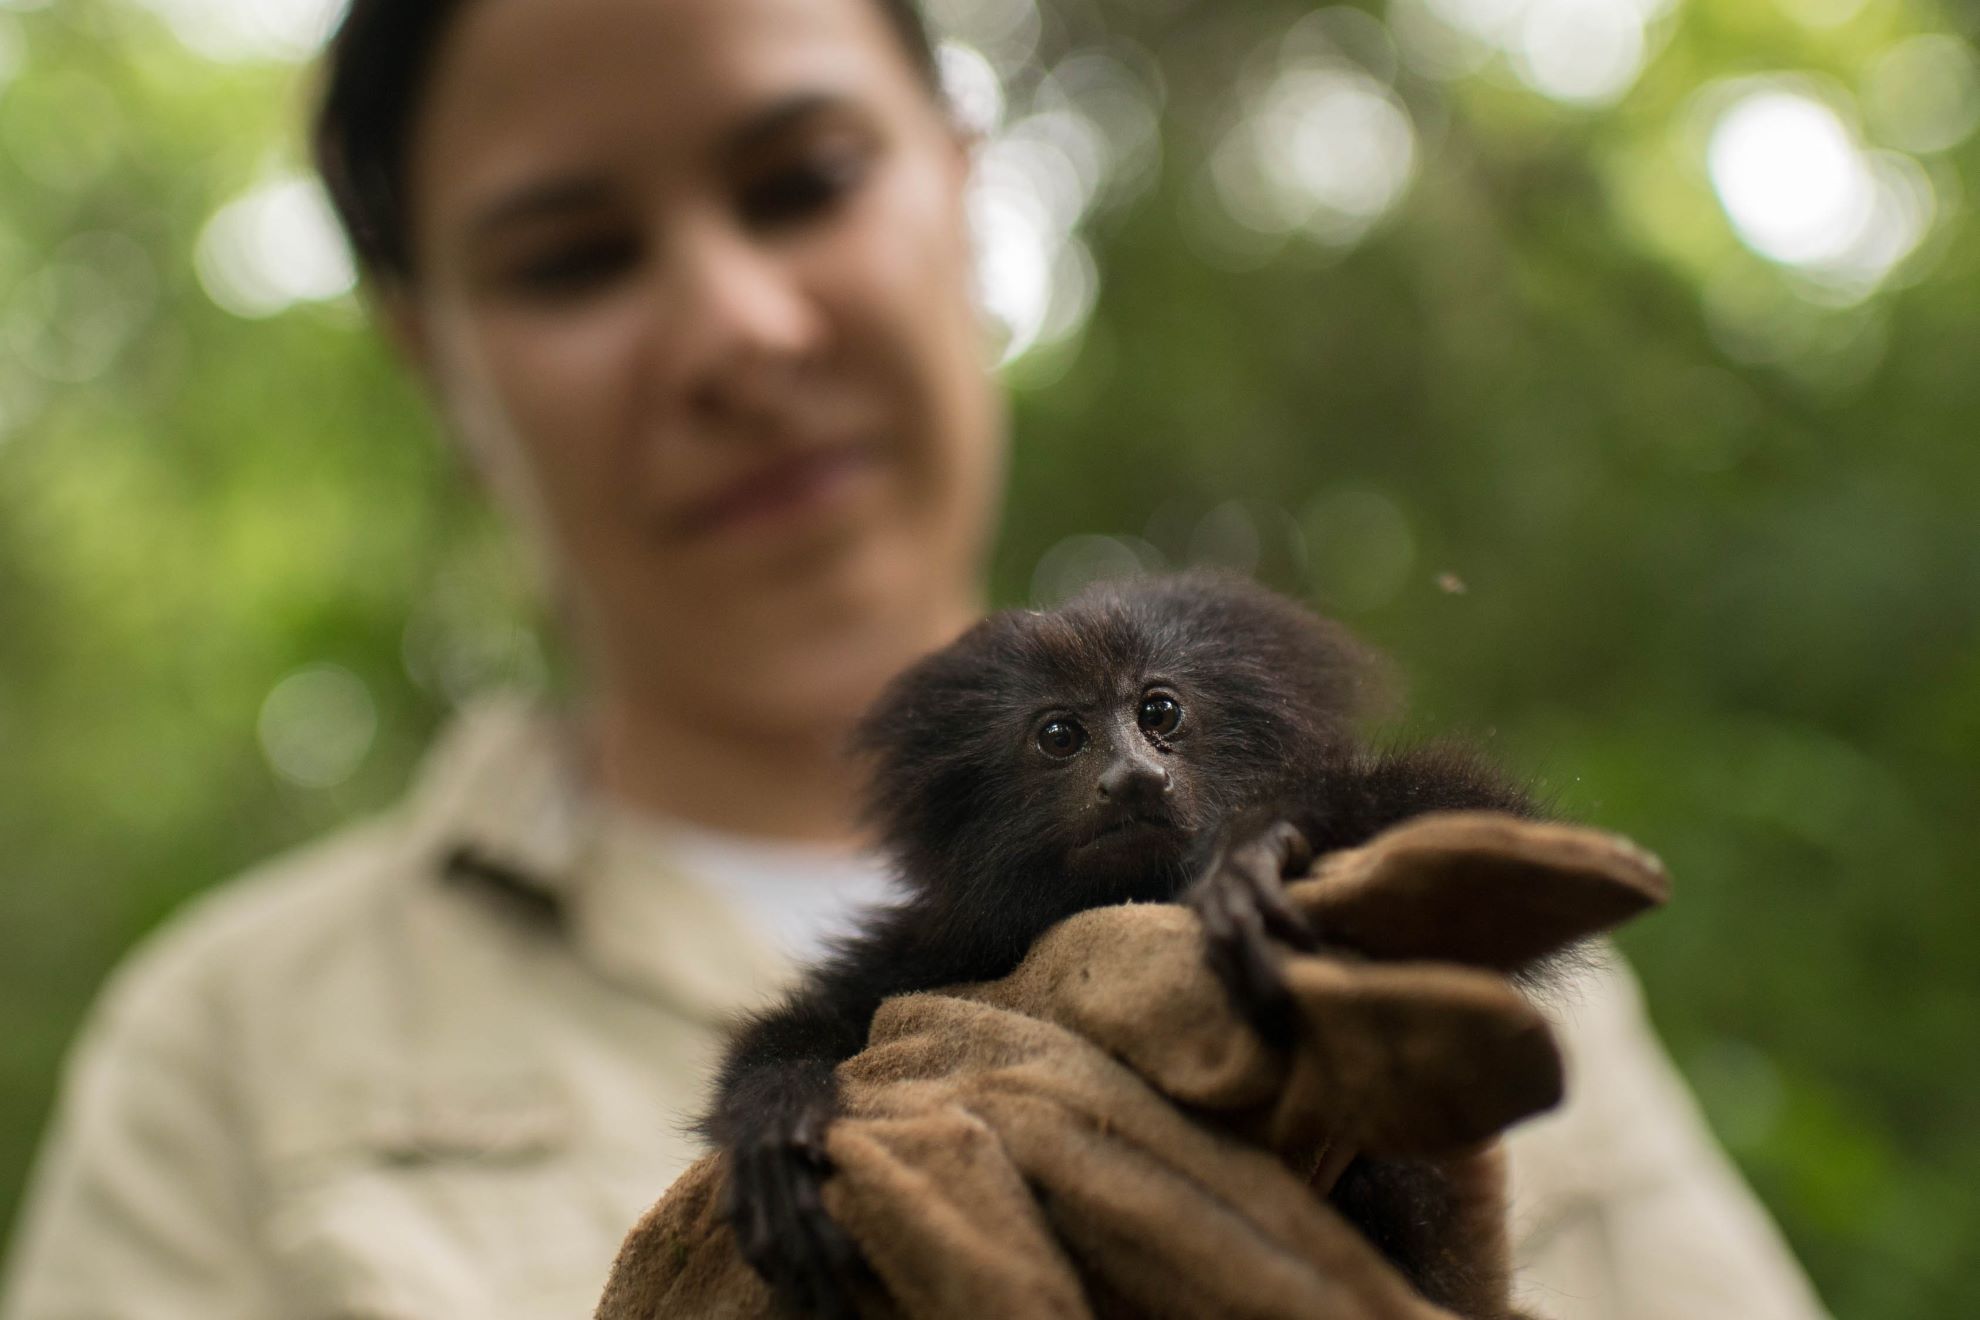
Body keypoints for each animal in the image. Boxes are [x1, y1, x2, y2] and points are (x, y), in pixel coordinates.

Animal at [704, 573, 1536, 1314]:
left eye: (1158, 711)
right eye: (1060, 735)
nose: (1133, 776)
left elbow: (1477, 824)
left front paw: (1260, 844)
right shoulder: (925, 950)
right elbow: (810, 1024)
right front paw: (777, 1129)